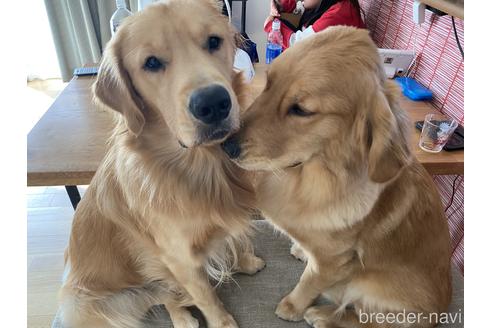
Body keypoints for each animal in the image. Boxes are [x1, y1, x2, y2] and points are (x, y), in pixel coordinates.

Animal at [58, 1, 268, 326]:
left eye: (213, 41)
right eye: (152, 63)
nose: (213, 103)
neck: (200, 165)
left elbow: (236, 238)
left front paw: (245, 261)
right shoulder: (178, 257)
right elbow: (206, 296)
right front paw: (222, 321)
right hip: (90, 303)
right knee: (163, 296)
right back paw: (182, 318)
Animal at [221, 26, 452, 326]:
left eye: (301, 110)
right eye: (269, 83)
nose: (226, 146)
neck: (310, 178)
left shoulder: (335, 261)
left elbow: (309, 282)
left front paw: (292, 306)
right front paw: (301, 250)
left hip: (371, 288)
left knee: (367, 317)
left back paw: (321, 314)